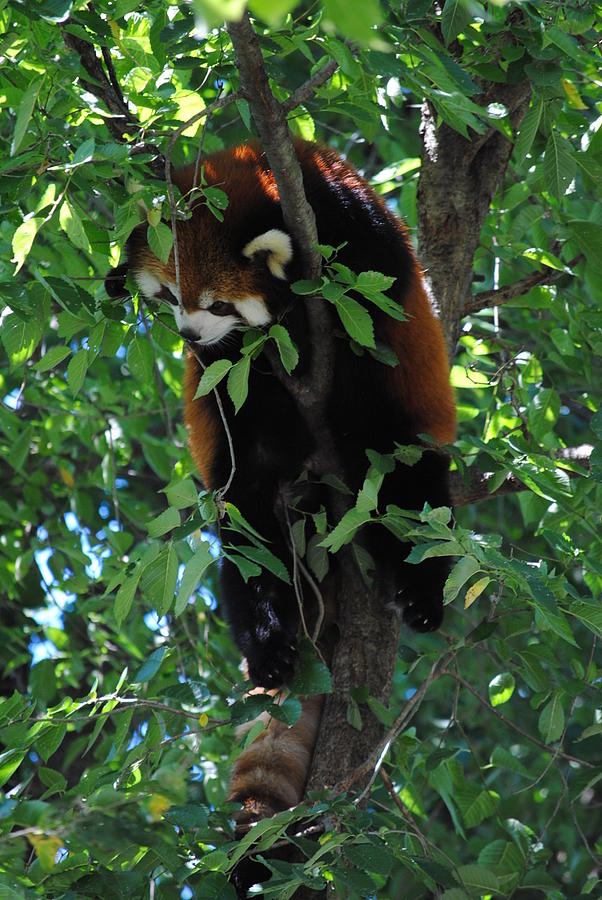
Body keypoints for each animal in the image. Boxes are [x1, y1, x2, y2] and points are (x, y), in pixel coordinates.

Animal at [106, 141, 454, 872]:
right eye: (170, 295)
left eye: (219, 303)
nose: (192, 336)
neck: (268, 184)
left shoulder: (357, 228)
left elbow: (366, 315)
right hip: (257, 489)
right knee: (251, 540)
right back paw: (267, 643)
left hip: (399, 441)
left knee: (402, 478)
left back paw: (419, 593)